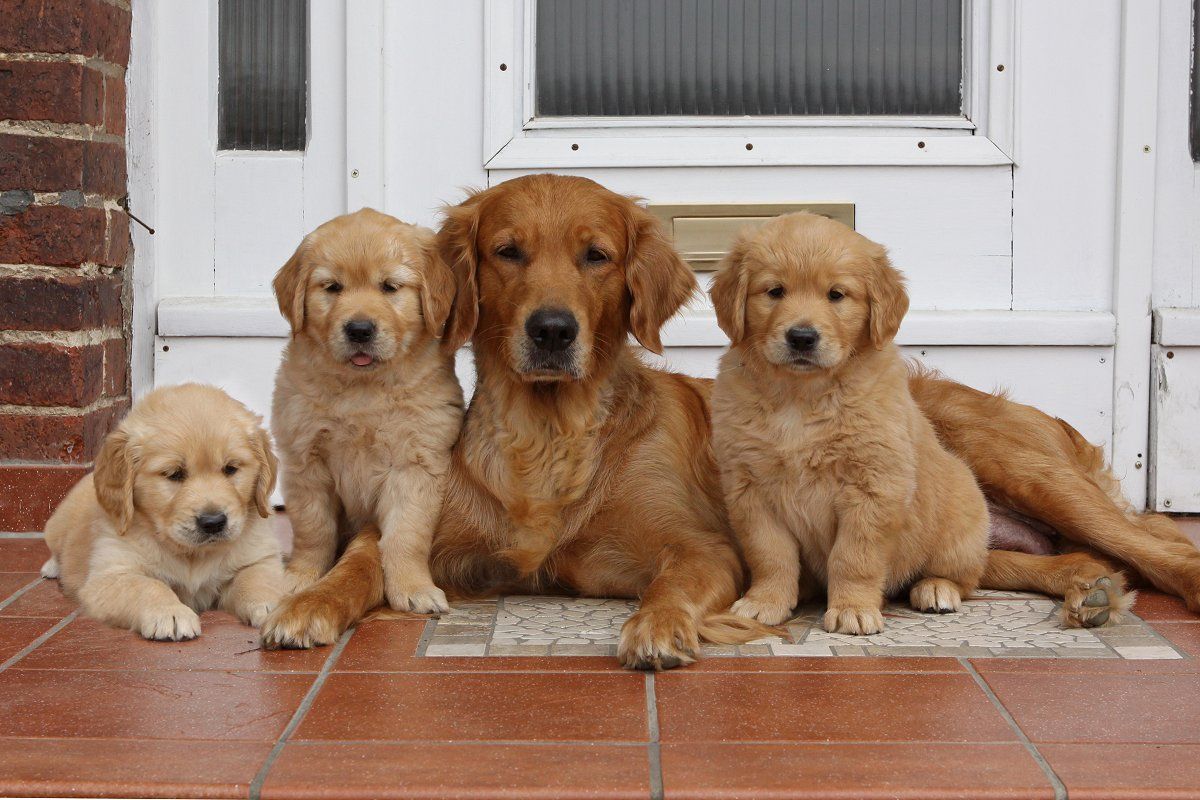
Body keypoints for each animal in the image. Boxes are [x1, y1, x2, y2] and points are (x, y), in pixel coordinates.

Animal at [40, 383, 285, 642]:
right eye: (174, 474)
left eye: (231, 469)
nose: (213, 522)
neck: (192, 555)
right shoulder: (111, 576)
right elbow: (148, 586)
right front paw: (170, 613)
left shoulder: (260, 558)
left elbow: (258, 580)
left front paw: (274, 608)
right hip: (56, 524)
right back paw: (52, 567)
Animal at [260, 208, 460, 652]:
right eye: (333, 287)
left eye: (390, 287)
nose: (359, 329)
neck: (362, 390)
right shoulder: (305, 461)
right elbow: (313, 530)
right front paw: (301, 577)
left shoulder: (417, 465)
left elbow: (406, 535)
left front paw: (413, 589)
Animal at [705, 214, 1128, 638]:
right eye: (774, 291)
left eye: (836, 295)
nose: (802, 337)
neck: (800, 396)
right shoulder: (750, 491)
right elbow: (770, 554)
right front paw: (764, 603)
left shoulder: (873, 487)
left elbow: (854, 557)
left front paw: (853, 609)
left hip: (967, 519)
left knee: (965, 576)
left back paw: (936, 589)